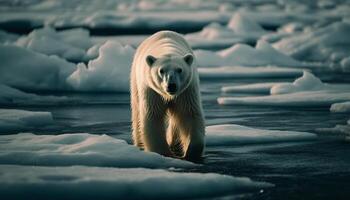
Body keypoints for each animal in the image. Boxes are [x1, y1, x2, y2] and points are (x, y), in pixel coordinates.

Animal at [130, 30, 204, 161]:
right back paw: (139, 144)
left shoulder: (186, 91)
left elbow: (189, 114)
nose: (171, 86)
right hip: (135, 81)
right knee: (137, 113)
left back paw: (174, 142)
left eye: (179, 70)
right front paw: (164, 153)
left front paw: (191, 152)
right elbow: (153, 116)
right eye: (161, 70)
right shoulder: (152, 91)